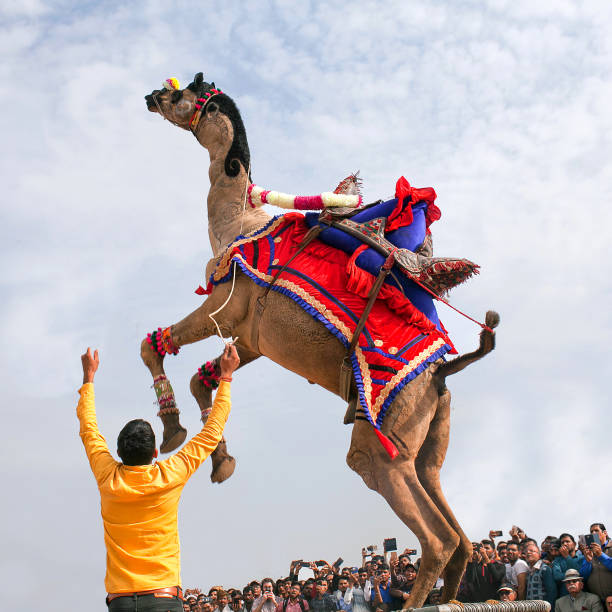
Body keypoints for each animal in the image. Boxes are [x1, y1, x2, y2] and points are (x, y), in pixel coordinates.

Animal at [142, 73, 498, 608]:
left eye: (185, 91)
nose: (151, 97)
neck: (235, 224)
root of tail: (445, 371)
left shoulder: (224, 302)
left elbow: (155, 343)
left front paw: (172, 432)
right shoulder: (252, 339)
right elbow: (202, 379)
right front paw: (220, 461)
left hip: (384, 442)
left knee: (433, 535)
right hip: (428, 439)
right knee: (457, 533)